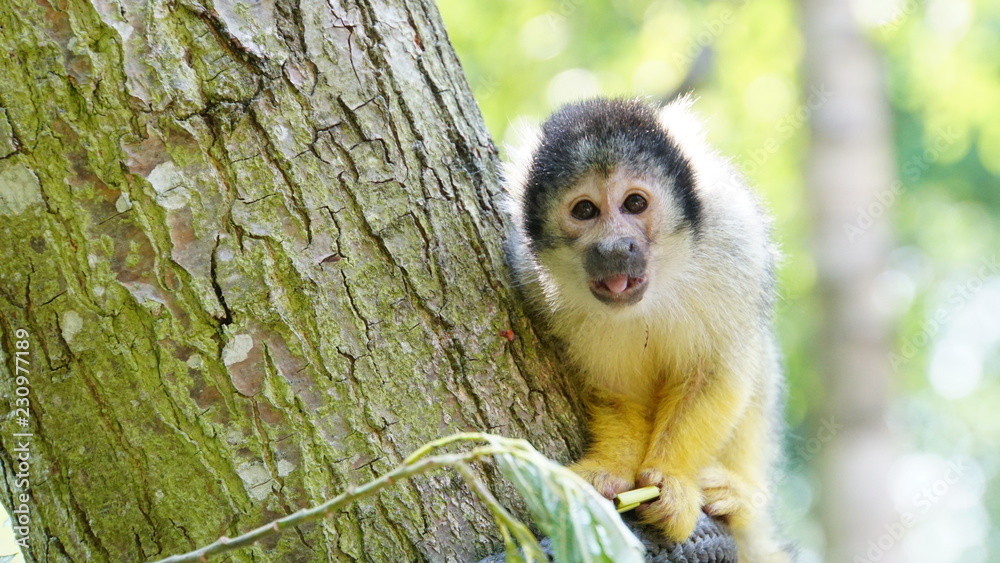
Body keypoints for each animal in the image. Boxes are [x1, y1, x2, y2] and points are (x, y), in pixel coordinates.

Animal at [503, 97, 790, 561]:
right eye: (585, 210)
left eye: (635, 204)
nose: (615, 247)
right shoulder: (533, 278)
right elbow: (615, 388)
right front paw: (613, 467)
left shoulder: (736, 240)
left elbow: (716, 373)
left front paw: (671, 479)